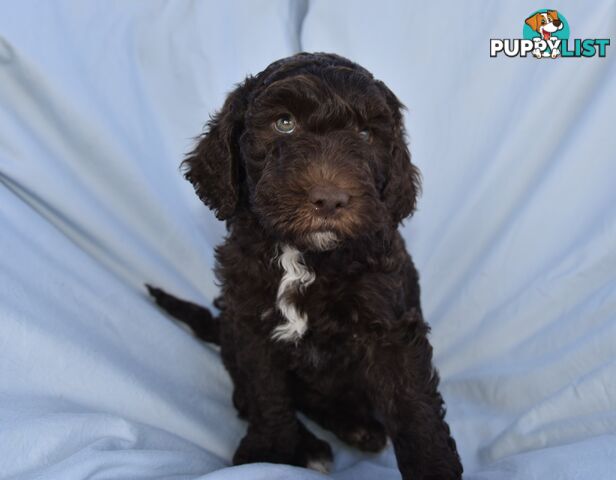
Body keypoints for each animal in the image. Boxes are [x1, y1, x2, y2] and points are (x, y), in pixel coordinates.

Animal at [146, 51, 462, 480]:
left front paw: (434, 466)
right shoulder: (249, 320)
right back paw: (315, 443)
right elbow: (266, 393)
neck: (302, 256)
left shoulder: (390, 324)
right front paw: (271, 452)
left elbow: (414, 406)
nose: (329, 199)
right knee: (252, 397)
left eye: (366, 134)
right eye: (285, 123)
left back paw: (356, 427)